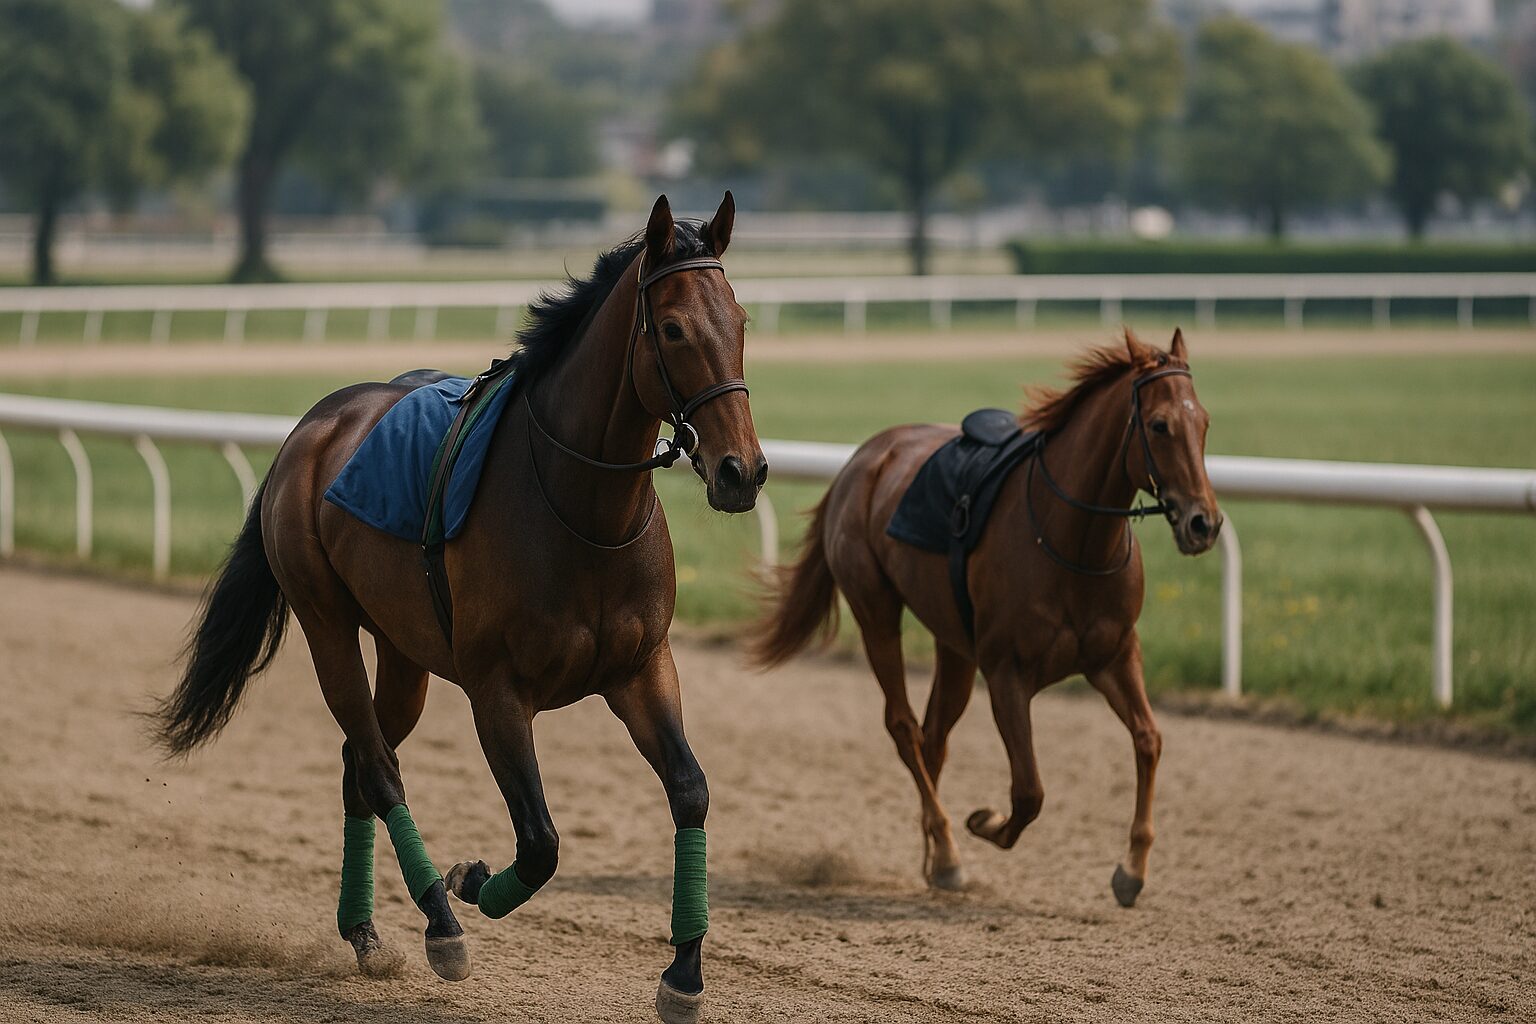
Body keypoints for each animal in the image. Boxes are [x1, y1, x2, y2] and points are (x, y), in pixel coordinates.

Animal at [153, 193, 765, 1024]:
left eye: (740, 321)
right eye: (672, 329)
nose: (743, 471)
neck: (582, 509)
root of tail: (310, 428)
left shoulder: (641, 667)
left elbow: (689, 789)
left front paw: (686, 973)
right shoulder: (496, 690)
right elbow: (540, 842)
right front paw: (470, 882)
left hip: (404, 651)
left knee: (359, 761)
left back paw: (366, 933)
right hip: (326, 624)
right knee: (378, 768)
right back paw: (439, 924)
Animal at [751, 329, 1221, 907]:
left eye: (1204, 422)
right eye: (1159, 425)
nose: (1204, 523)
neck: (1073, 542)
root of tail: (861, 461)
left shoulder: (1114, 655)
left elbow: (1149, 740)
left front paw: (1132, 870)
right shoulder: (1006, 674)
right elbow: (1029, 790)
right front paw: (984, 823)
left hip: (954, 644)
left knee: (933, 735)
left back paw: (935, 853)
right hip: (876, 610)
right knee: (904, 726)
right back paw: (949, 854)